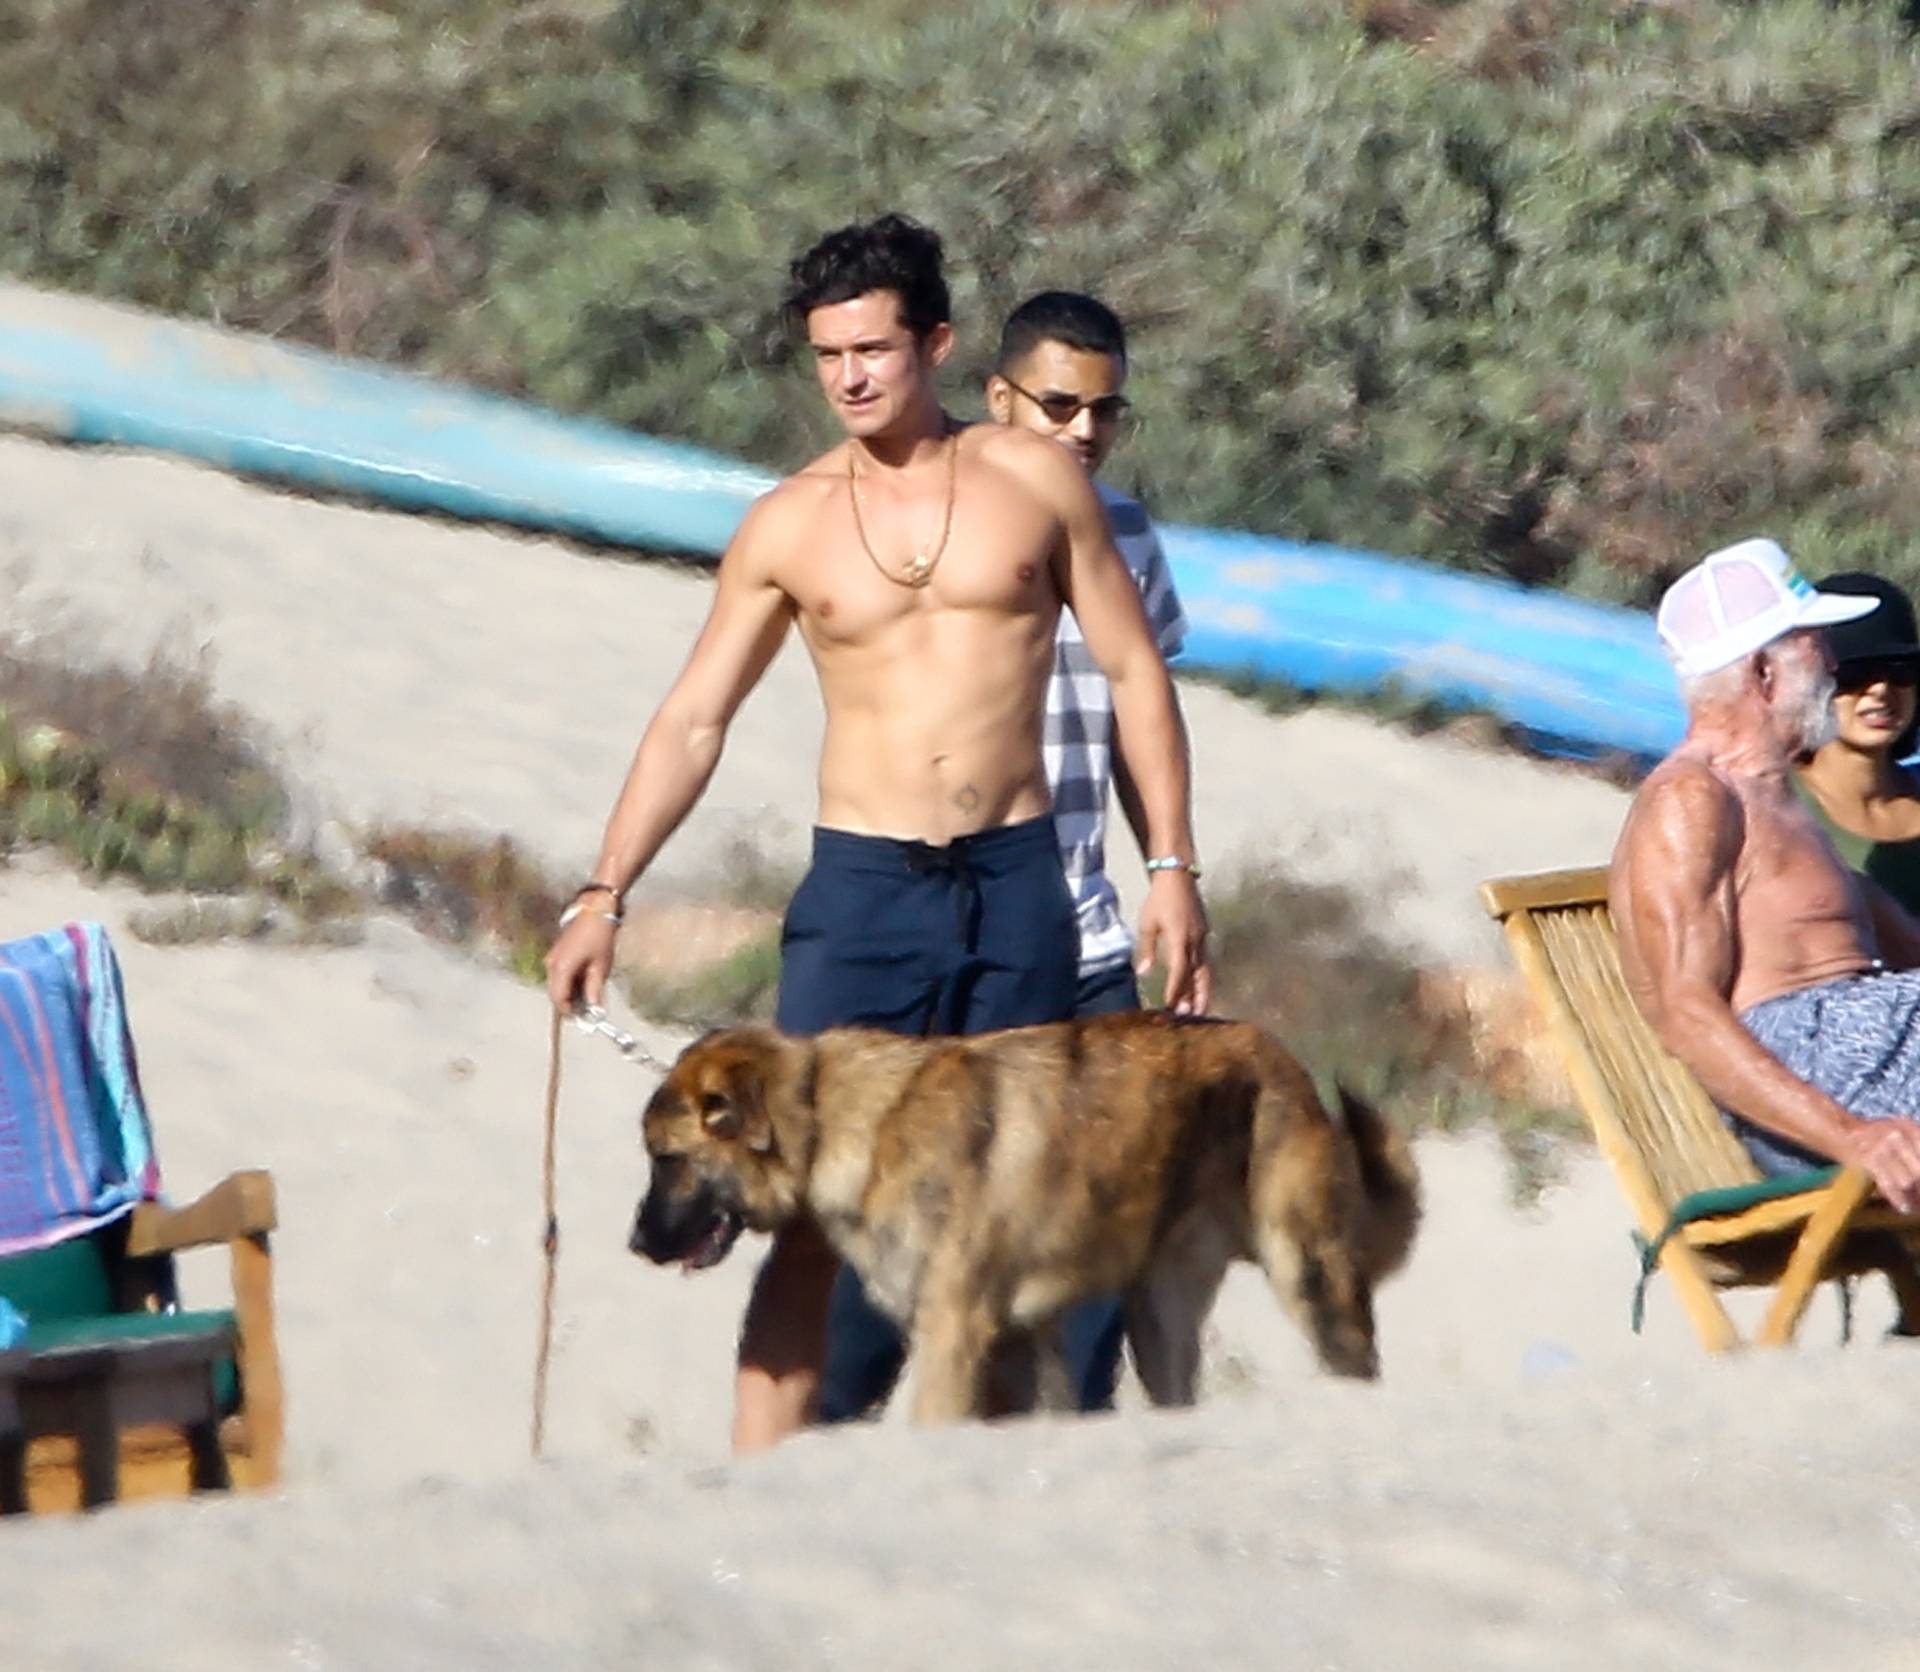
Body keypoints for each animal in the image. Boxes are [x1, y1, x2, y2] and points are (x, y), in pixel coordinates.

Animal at [629, 1005, 1413, 1428]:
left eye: (666, 1159)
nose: (636, 1243)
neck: (838, 1116)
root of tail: (1283, 1056)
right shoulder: (1022, 1341)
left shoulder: (953, 1334)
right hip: (1160, 1318)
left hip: (1308, 1276)